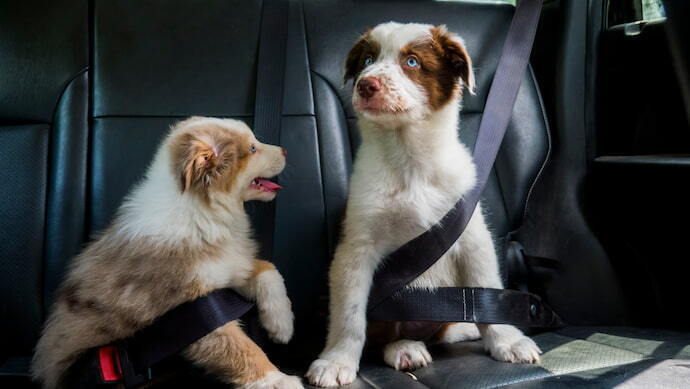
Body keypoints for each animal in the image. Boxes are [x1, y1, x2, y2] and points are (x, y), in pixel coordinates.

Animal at [31, 117, 300, 388]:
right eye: (253, 148)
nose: (286, 150)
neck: (201, 209)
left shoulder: (227, 266)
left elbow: (268, 270)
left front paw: (282, 324)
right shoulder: (190, 312)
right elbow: (239, 348)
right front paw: (277, 380)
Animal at [308, 23, 544, 384]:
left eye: (413, 62)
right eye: (367, 60)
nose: (366, 85)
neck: (409, 160)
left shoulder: (472, 236)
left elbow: (487, 292)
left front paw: (507, 341)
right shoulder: (356, 247)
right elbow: (350, 314)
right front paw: (337, 360)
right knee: (385, 337)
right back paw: (405, 348)